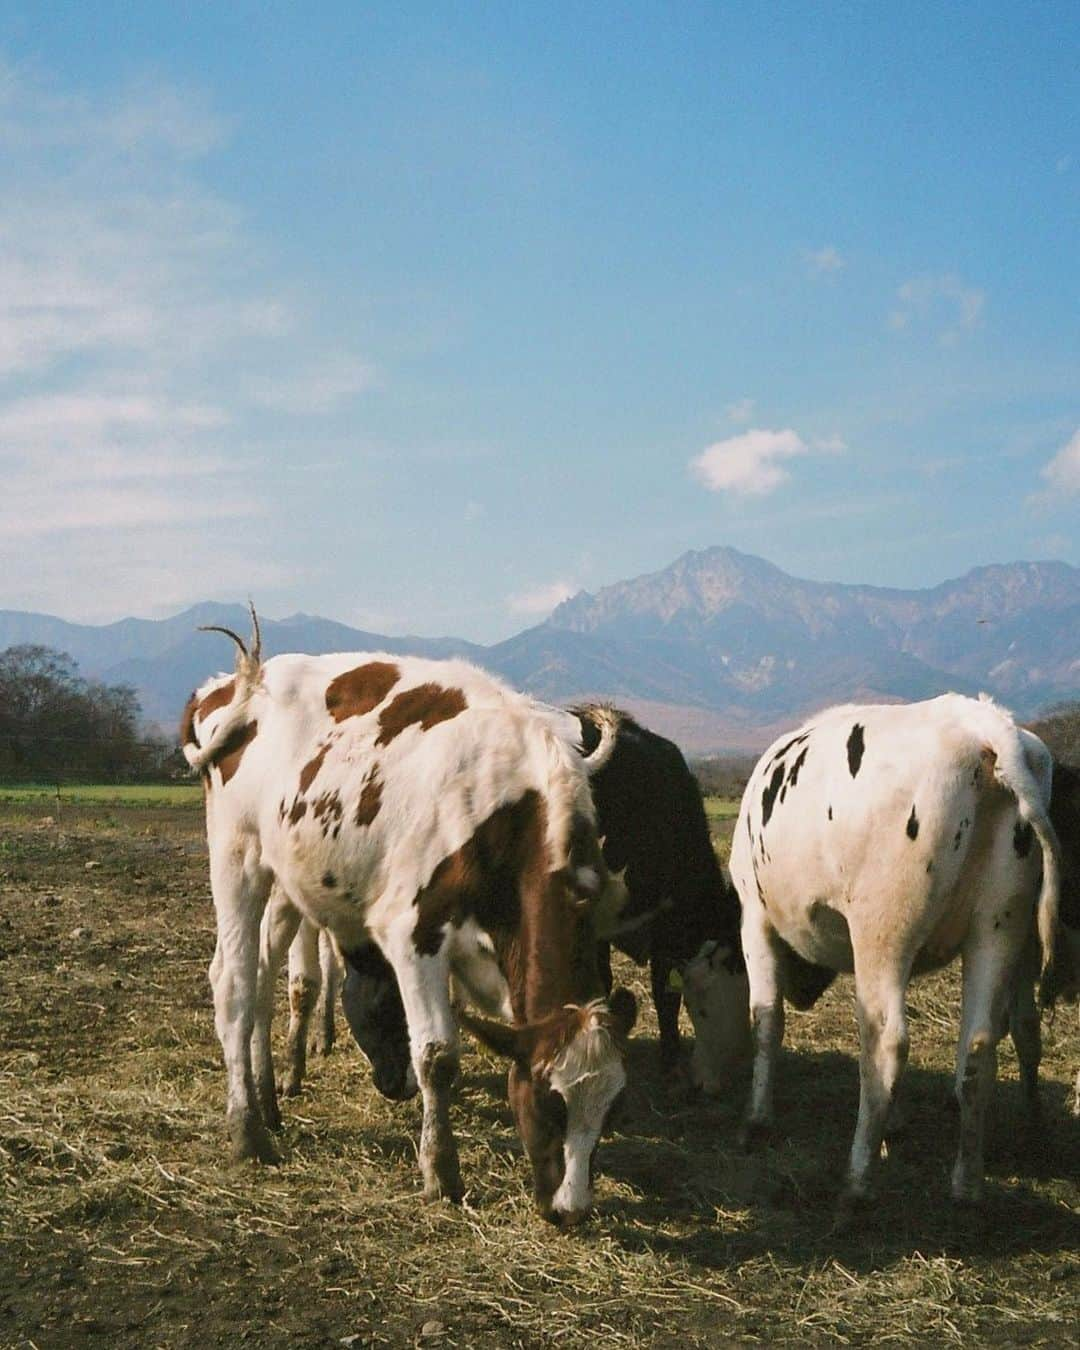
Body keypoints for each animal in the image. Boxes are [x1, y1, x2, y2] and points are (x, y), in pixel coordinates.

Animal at [178, 618, 637, 1231]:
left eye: (610, 1109)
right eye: (549, 1101)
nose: (572, 1211)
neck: (510, 806)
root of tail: (228, 687)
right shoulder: (413, 933)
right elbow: (437, 1056)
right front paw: (440, 1173)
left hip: (283, 875)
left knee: (262, 982)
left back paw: (269, 1102)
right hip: (237, 855)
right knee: (234, 985)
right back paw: (248, 1132)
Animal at [729, 691, 1058, 1209]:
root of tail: (981, 724)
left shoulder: (754, 918)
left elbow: (766, 1021)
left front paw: (757, 1120)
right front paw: (895, 1128)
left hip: (882, 930)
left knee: (886, 1043)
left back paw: (856, 1185)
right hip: (999, 926)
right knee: (979, 1049)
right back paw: (966, 1186)